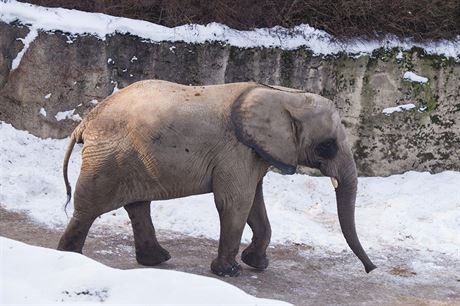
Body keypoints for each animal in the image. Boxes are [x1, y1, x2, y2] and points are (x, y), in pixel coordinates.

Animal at [57, 79, 376, 278]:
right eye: (328, 146)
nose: (371, 269)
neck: (285, 95)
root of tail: (86, 121)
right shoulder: (236, 150)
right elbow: (236, 202)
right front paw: (230, 272)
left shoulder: (254, 153)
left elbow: (254, 203)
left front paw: (257, 264)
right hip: (109, 156)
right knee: (90, 207)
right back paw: (69, 257)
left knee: (137, 206)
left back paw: (158, 260)